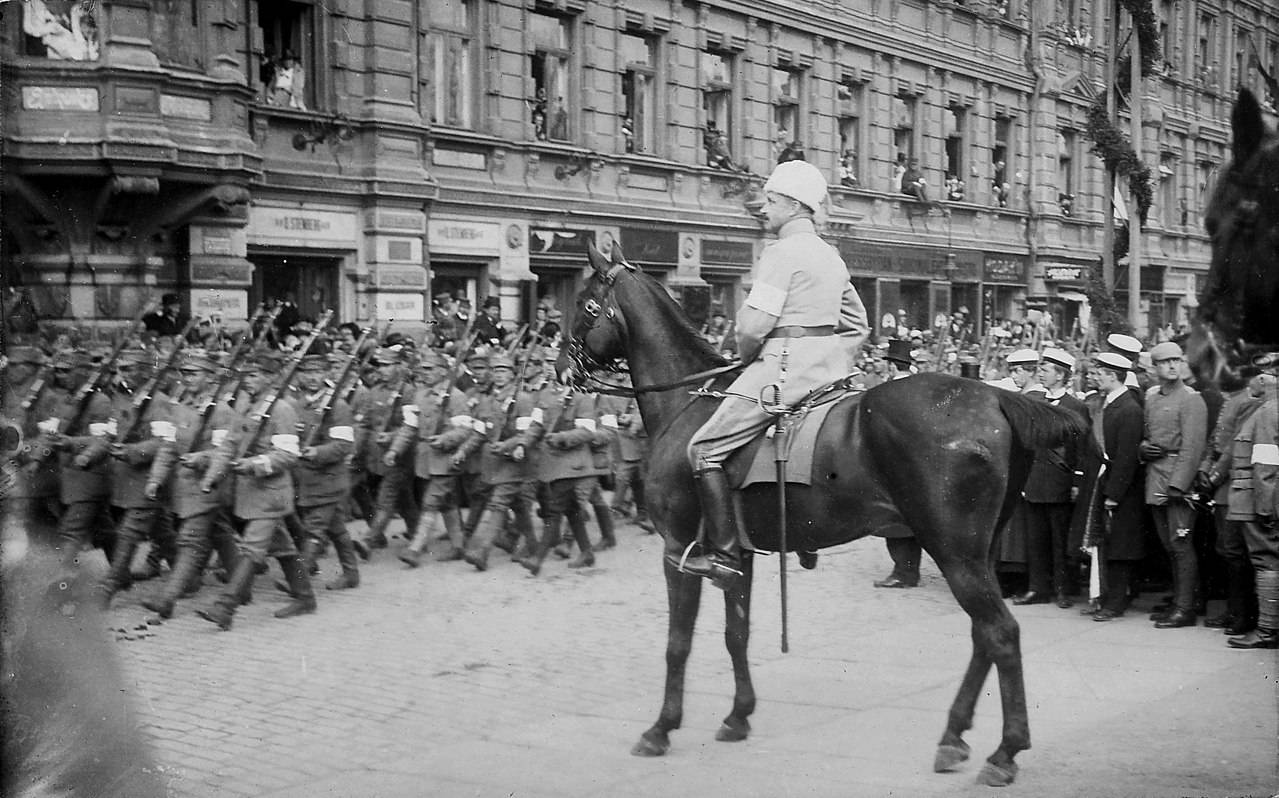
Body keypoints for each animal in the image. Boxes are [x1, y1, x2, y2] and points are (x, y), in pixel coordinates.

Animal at [562, 241, 1089, 787]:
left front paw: (661, 727)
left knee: (999, 633)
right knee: (983, 635)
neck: (688, 404)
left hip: (955, 552)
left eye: (585, 304)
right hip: (976, 554)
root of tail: (998, 396)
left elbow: (678, 642)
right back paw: (954, 735)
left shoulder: (679, 550)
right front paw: (738, 715)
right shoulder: (737, 556)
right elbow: (736, 634)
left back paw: (1005, 751)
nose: (563, 369)